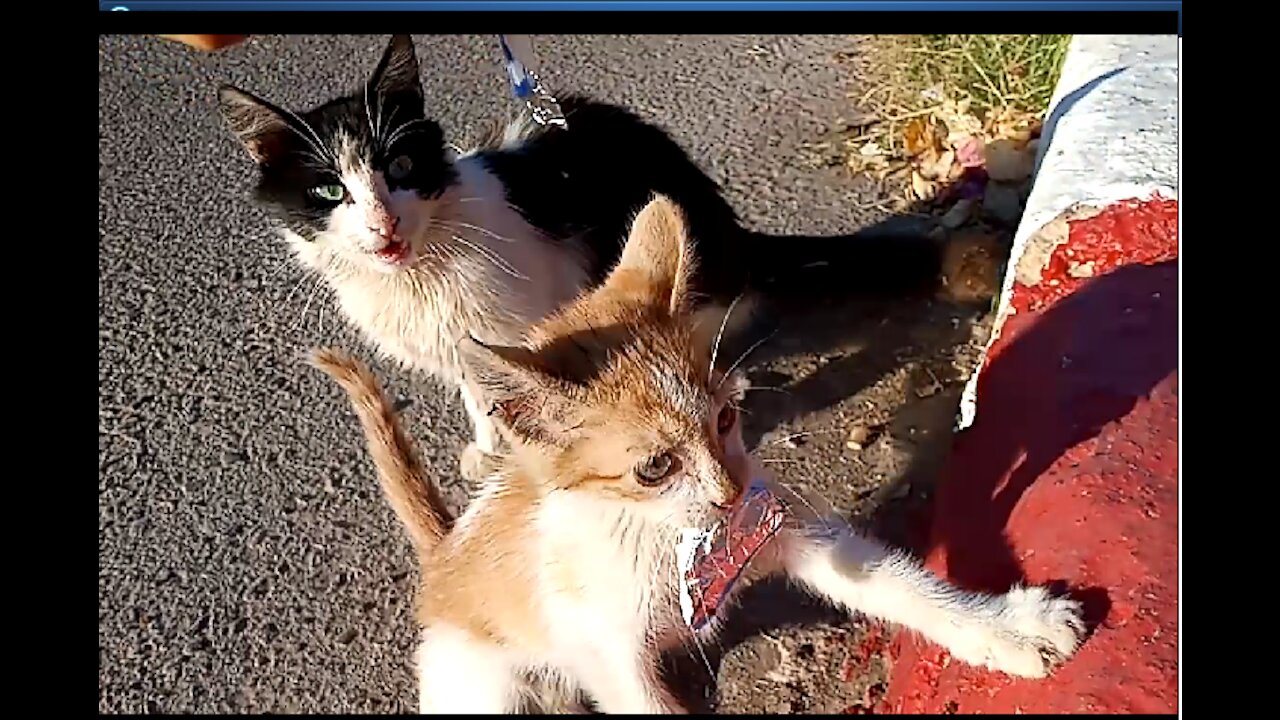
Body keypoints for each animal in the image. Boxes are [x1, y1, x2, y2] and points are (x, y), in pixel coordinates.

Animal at [217, 36, 942, 479]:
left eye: (398, 166)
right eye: (327, 191)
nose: (382, 223)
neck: (422, 272)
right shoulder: (464, 345)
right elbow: (481, 393)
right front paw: (490, 448)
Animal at [307, 193, 1080, 707]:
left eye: (728, 417)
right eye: (655, 467)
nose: (734, 493)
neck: (661, 533)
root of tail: (443, 552)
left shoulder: (787, 528)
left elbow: (897, 583)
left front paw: (1007, 628)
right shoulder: (610, 657)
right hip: (482, 679)